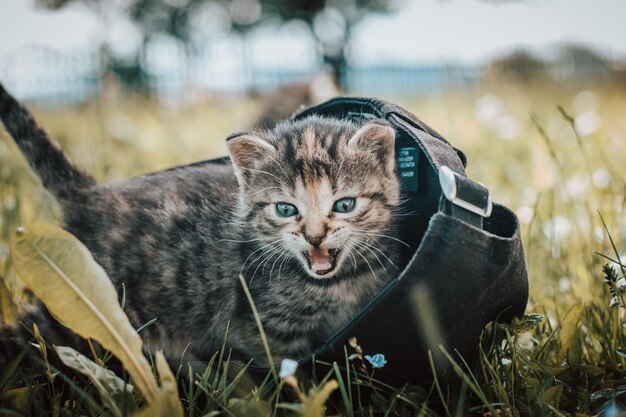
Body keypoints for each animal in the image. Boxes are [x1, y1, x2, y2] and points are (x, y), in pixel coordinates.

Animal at [0, 83, 400, 366]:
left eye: (344, 205)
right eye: (286, 209)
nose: (315, 237)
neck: (337, 284)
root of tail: (93, 194)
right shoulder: (266, 329)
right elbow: (290, 376)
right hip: (84, 305)